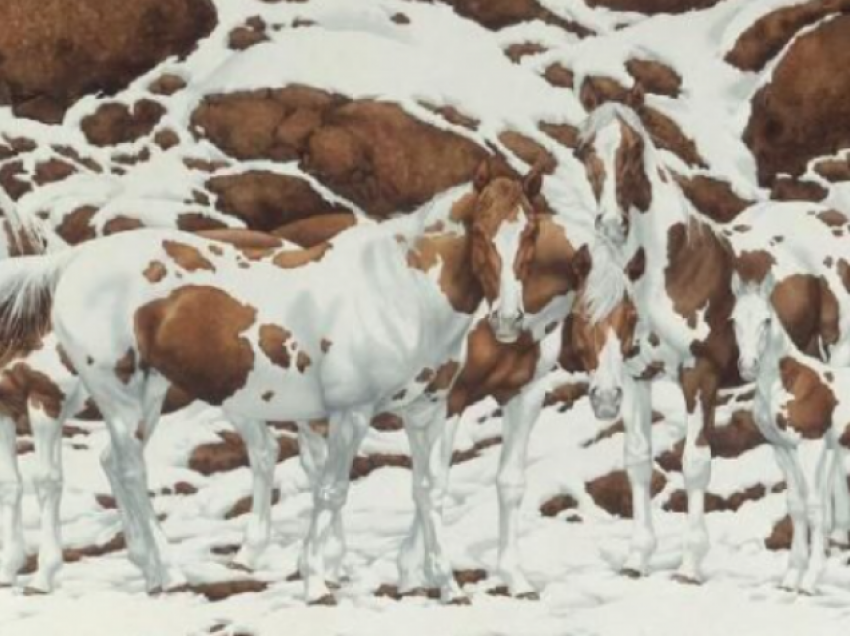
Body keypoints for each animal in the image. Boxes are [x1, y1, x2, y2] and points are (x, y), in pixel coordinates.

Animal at [0, 161, 544, 604]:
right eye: (481, 232)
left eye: (532, 233)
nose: (510, 320)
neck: (400, 294)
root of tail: (74, 261)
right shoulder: (351, 414)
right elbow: (331, 491)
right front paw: (316, 582)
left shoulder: (426, 410)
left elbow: (428, 490)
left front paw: (446, 584)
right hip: (117, 396)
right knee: (132, 472)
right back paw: (169, 573)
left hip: (147, 393)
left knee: (115, 464)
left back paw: (150, 571)